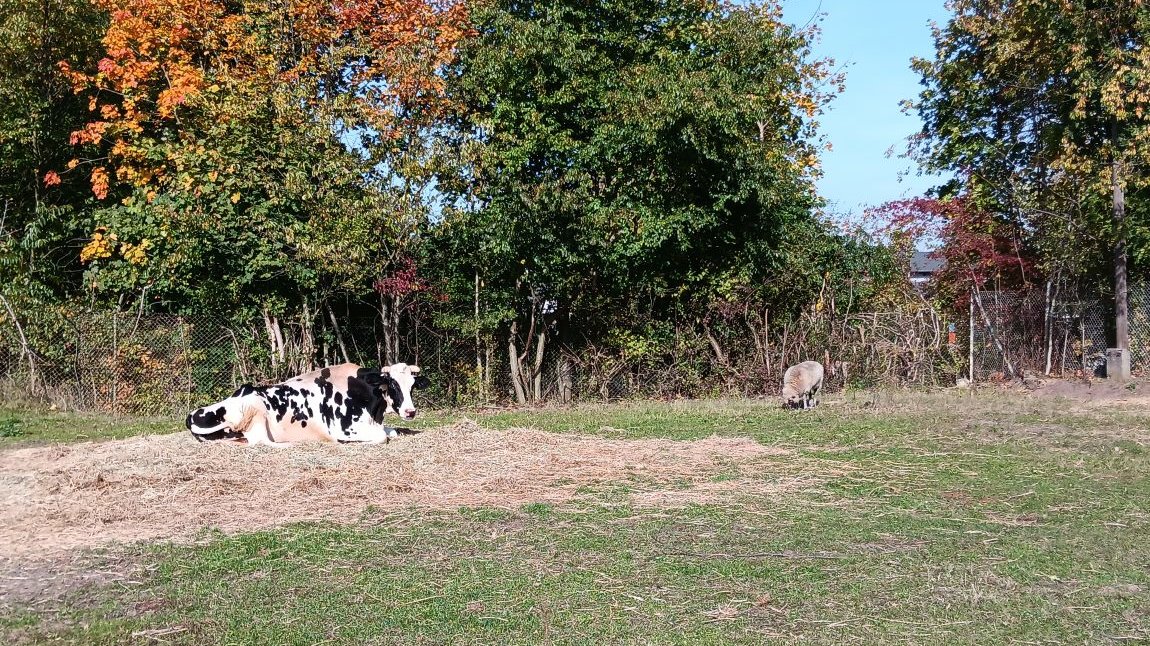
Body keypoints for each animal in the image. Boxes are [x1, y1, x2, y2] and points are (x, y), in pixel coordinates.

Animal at [186, 358, 430, 445]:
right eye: (393, 385)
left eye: (412, 386)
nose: (410, 411)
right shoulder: (342, 428)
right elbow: (381, 437)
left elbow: (392, 432)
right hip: (256, 411)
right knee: (263, 442)